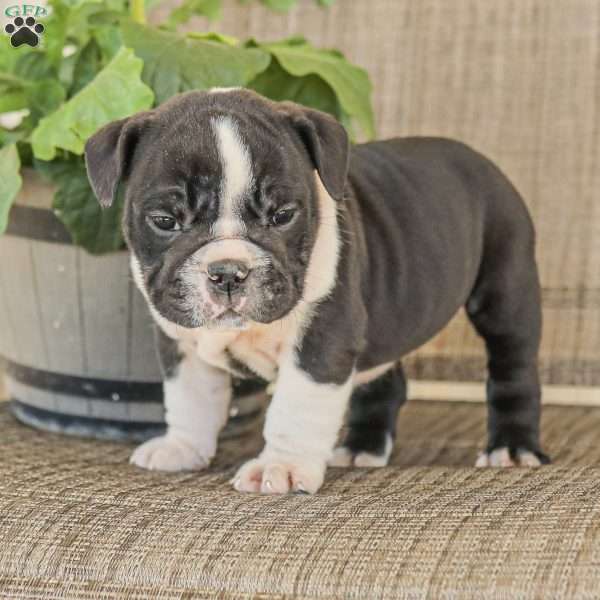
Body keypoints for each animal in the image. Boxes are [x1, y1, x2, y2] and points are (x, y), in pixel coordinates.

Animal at [83, 88, 548, 492]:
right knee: (384, 379)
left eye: (282, 216)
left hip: (506, 288)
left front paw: (281, 467)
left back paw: (512, 448)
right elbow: (191, 397)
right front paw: (183, 447)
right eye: (165, 221)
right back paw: (363, 447)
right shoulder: (181, 342)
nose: (228, 272)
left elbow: (297, 405)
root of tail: (484, 163)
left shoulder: (323, 339)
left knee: (513, 368)